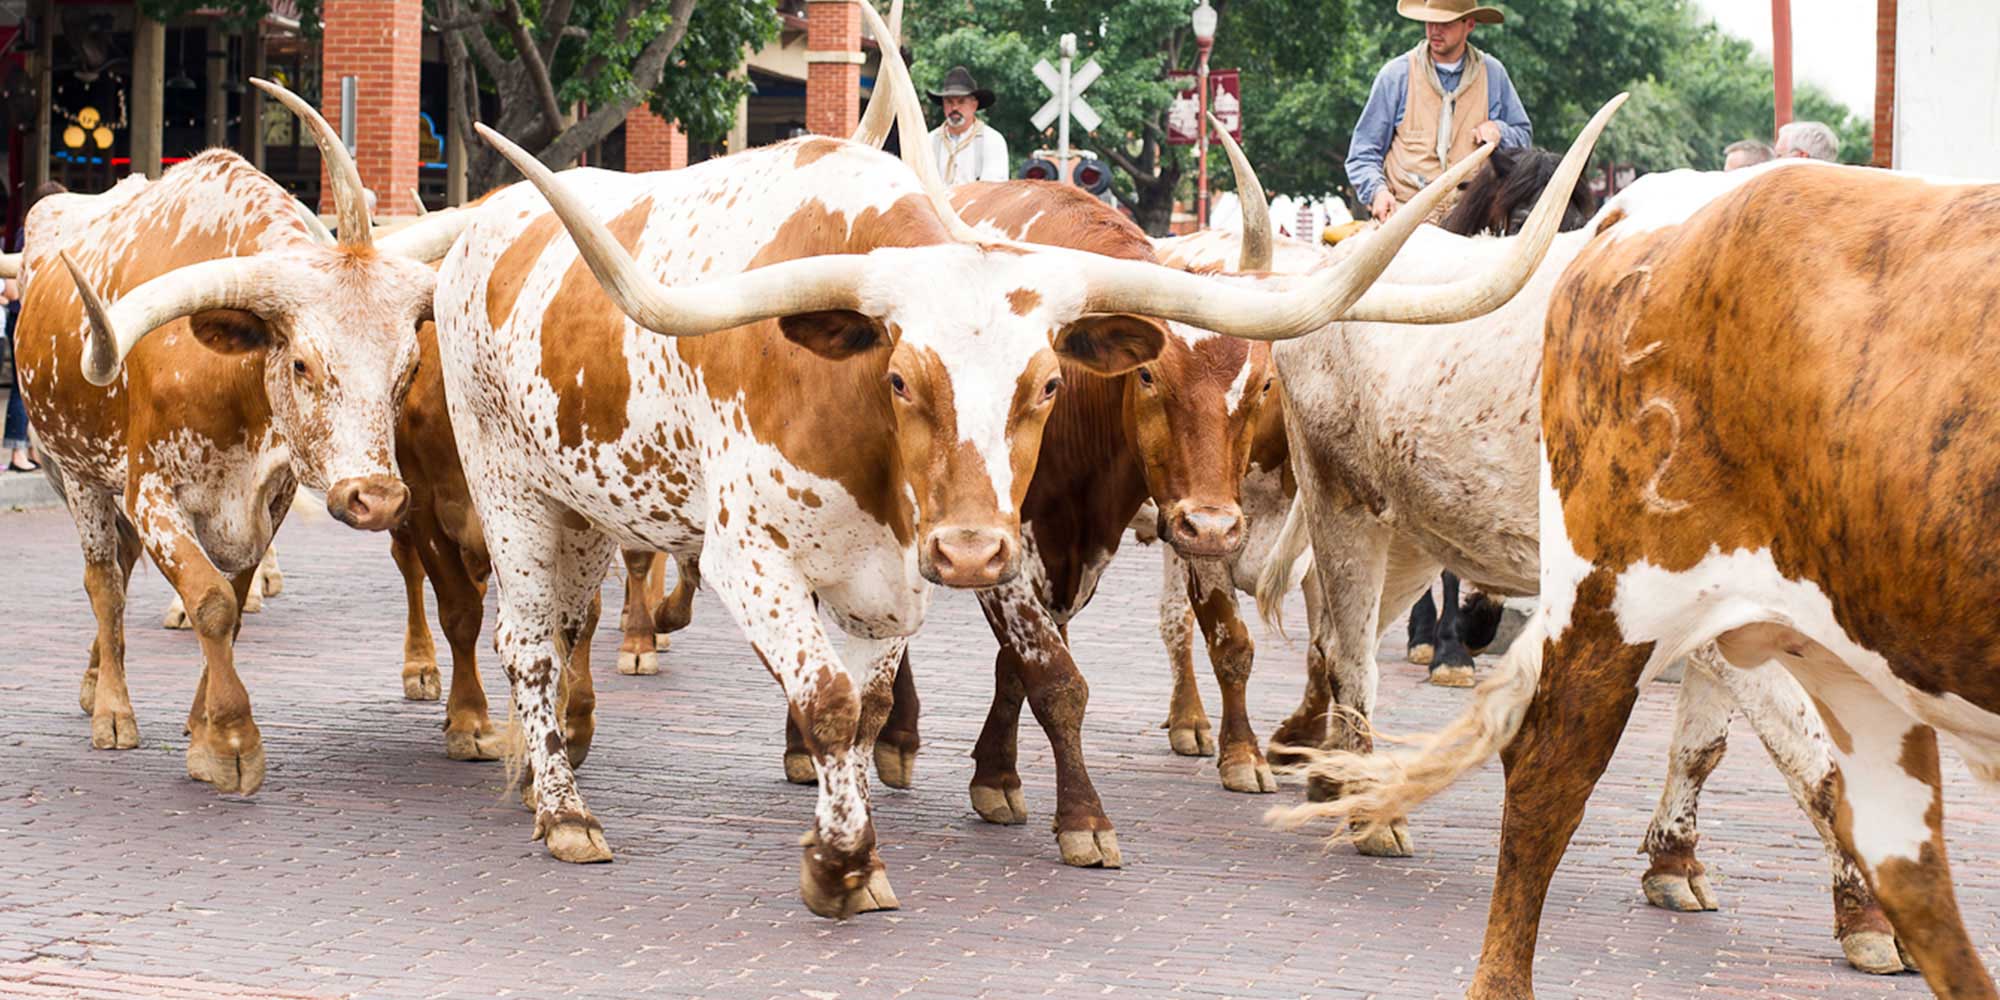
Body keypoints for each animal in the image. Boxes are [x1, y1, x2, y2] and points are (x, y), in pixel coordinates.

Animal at [438, 19, 1496, 916]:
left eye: (1047, 383)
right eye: (901, 378)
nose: (969, 548)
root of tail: (484, 225)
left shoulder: (927, 568)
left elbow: (886, 697)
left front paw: (879, 834)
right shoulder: (761, 557)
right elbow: (861, 694)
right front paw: (846, 858)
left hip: (583, 501)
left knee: (568, 623)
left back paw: (546, 764)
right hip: (509, 487)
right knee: (527, 643)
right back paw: (565, 812)